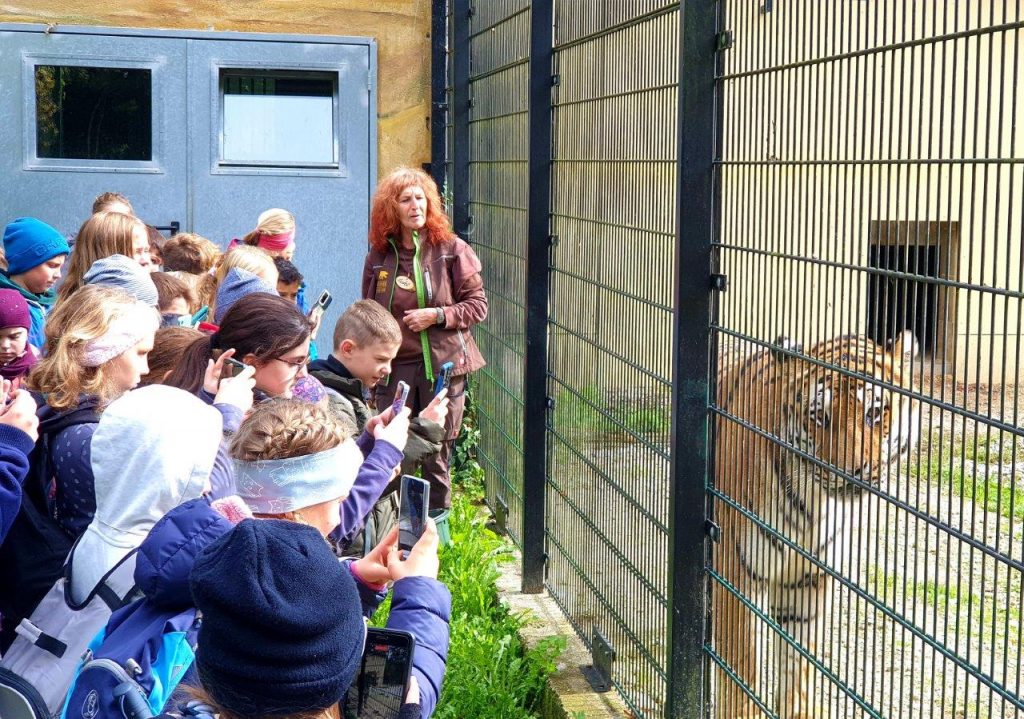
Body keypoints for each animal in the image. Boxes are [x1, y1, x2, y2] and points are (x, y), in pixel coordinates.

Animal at [712, 330, 922, 719]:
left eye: (874, 413)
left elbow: (797, 671)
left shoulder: (806, 582)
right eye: (819, 417)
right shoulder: (738, 575)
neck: (813, 505)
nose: (850, 473)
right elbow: (741, 676)